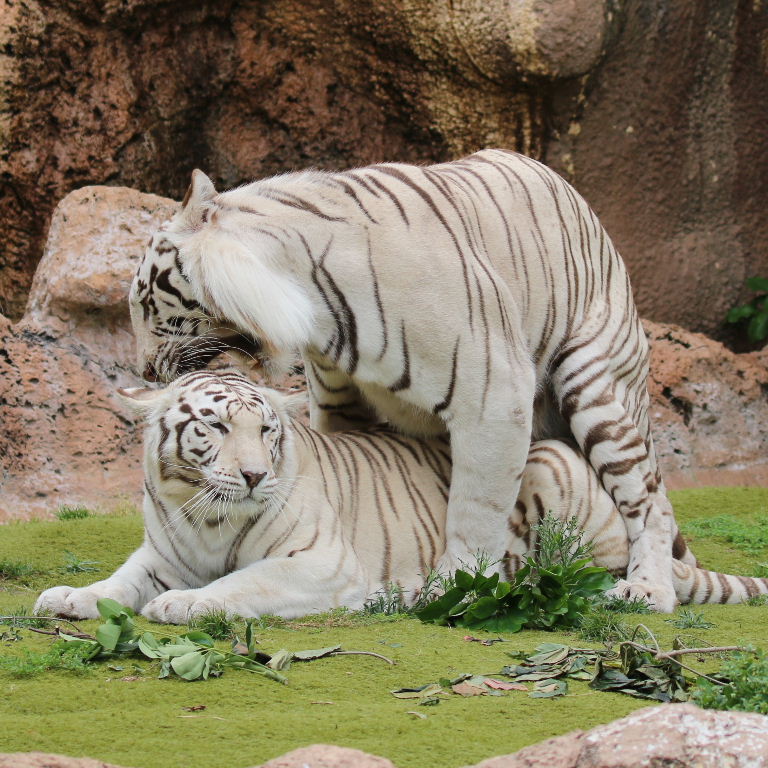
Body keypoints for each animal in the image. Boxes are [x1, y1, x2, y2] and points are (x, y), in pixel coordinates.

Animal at [36, 372, 768, 624]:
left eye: (265, 430)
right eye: (213, 427)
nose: (252, 476)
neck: (209, 519)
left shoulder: (319, 562)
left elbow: (240, 584)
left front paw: (182, 605)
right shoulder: (162, 553)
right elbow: (117, 583)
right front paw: (68, 597)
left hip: (556, 465)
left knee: (583, 573)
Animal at [129, 148, 676, 608]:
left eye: (144, 303)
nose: (145, 369)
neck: (313, 301)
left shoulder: (493, 392)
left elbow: (476, 508)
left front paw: (460, 585)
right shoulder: (340, 399)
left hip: (598, 385)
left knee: (648, 499)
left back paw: (648, 589)